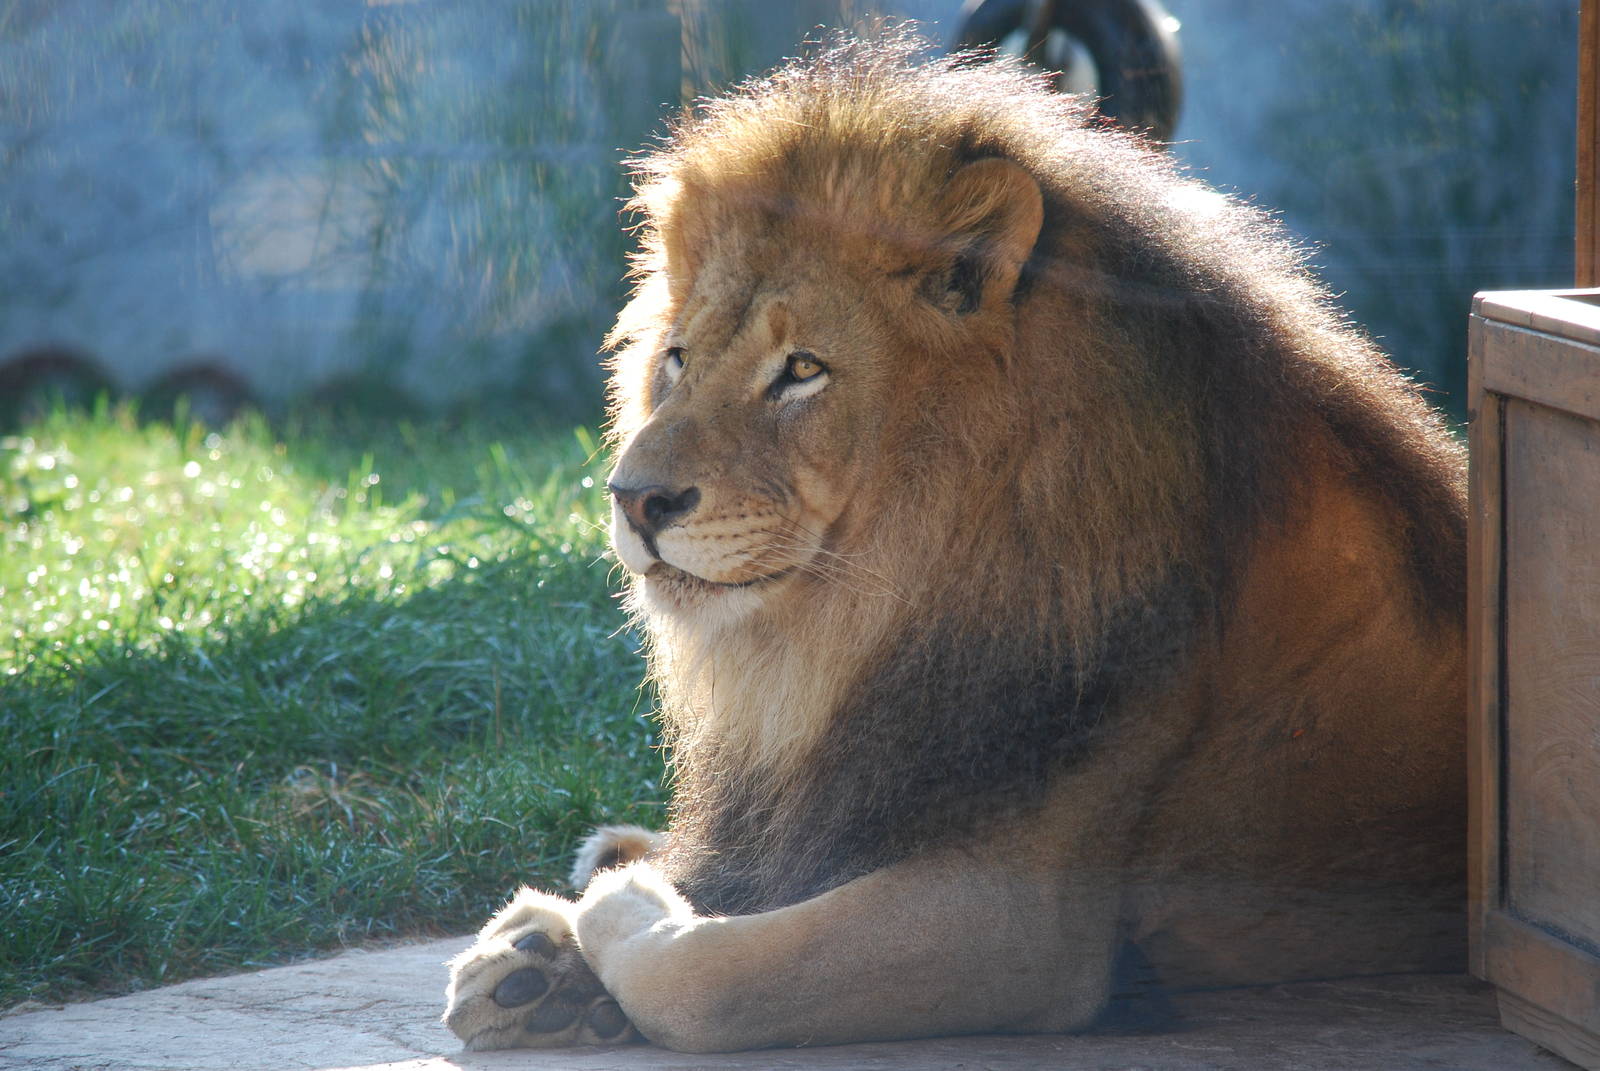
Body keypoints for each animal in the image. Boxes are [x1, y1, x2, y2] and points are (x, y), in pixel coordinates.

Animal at [442, 32, 1466, 1052]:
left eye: (802, 370)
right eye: (679, 359)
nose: (633, 499)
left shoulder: (1021, 920)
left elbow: (703, 977)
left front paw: (611, 911)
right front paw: (542, 959)